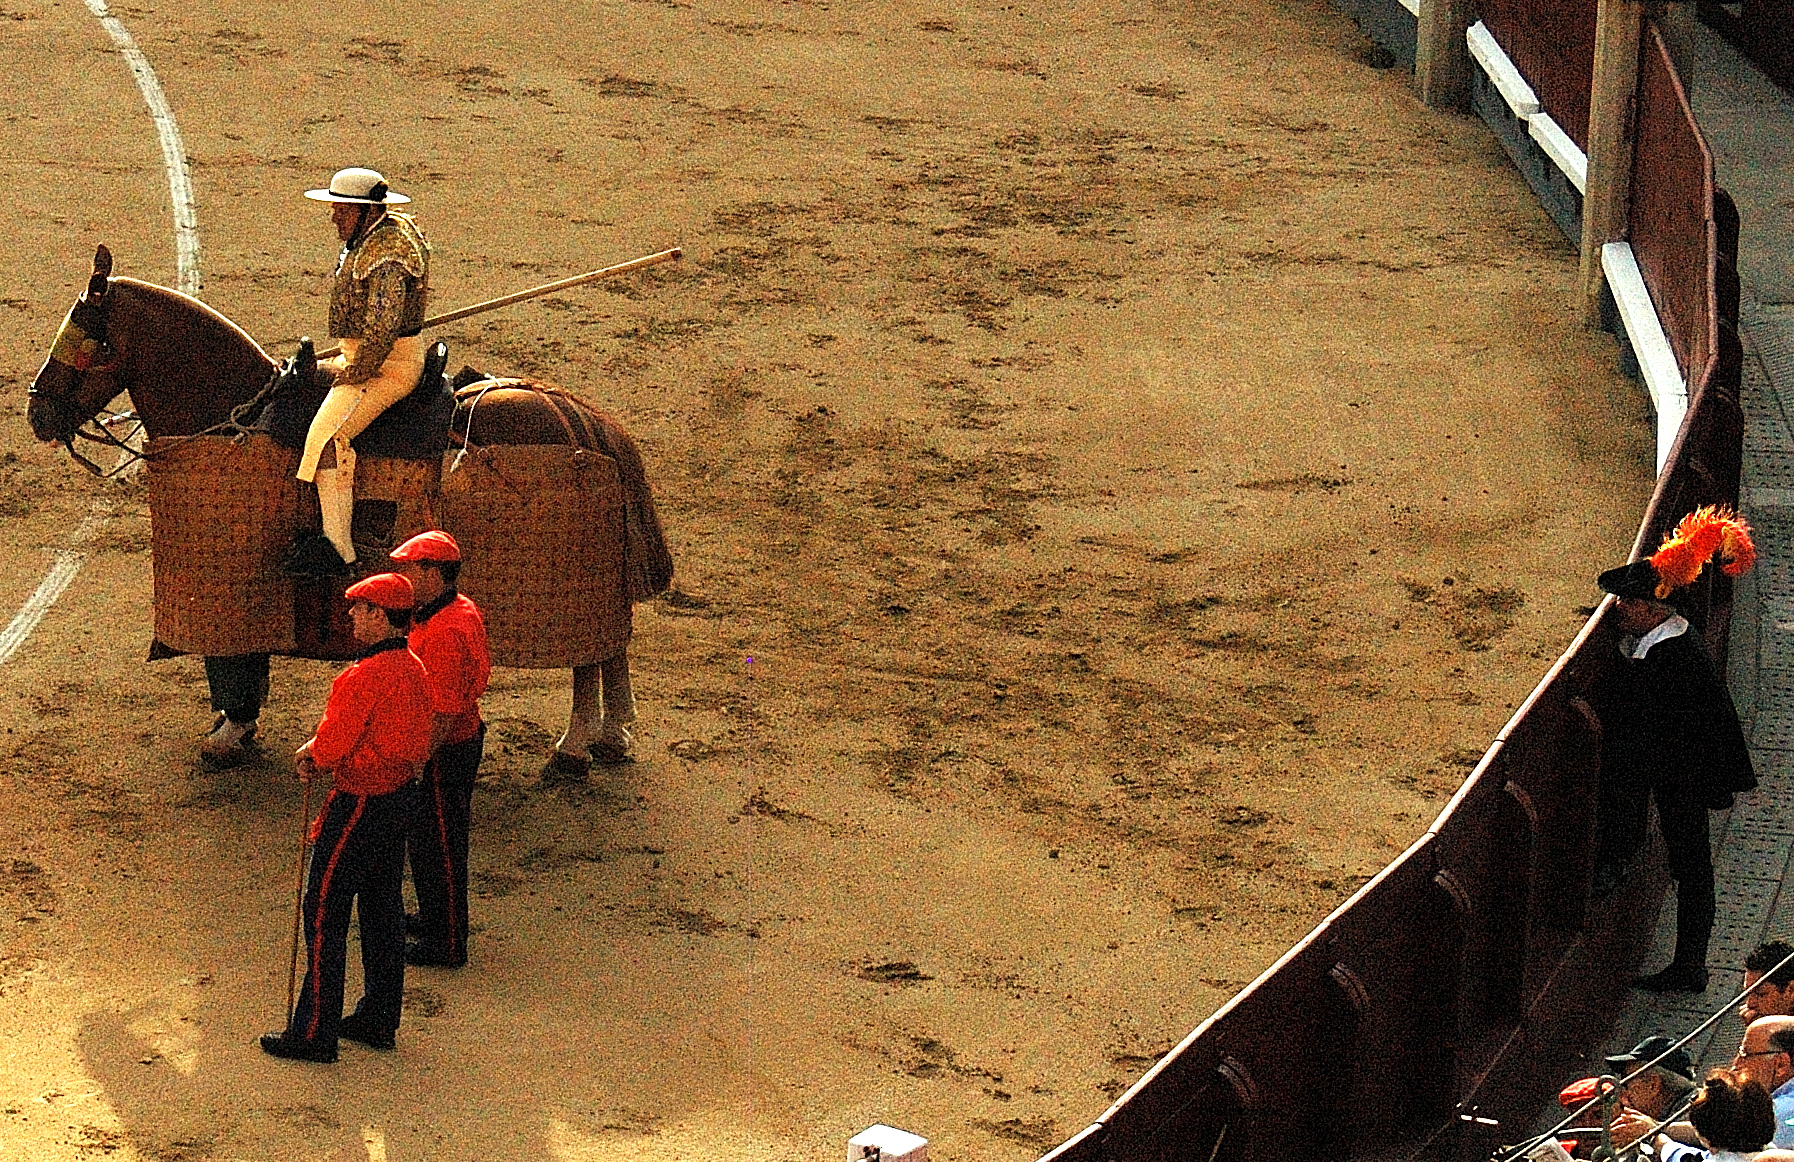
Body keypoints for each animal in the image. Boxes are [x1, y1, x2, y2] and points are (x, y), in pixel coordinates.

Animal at [26, 245, 674, 771]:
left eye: (82, 342)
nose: (37, 413)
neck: (233, 411)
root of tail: (576, 414)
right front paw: (231, 730)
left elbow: (234, 667)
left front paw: (228, 736)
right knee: (611, 649)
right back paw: (612, 735)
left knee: (589, 657)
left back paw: (574, 746)